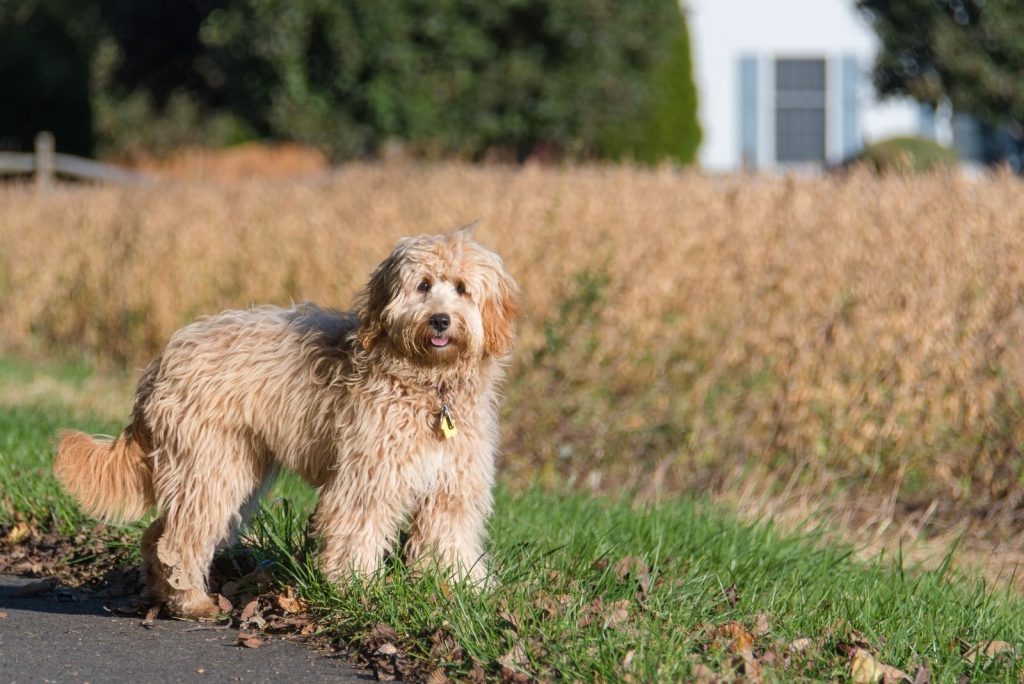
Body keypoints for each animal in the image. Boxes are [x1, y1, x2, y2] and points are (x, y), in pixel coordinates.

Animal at [54, 229, 520, 618]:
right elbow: (356, 532)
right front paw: (357, 590)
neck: (428, 386)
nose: (440, 319)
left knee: (158, 534)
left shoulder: (452, 487)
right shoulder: (367, 480)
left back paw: (163, 594)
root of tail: (161, 362)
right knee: (177, 538)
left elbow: (451, 537)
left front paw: (466, 591)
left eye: (461, 289)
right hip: (212, 466)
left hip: (224, 469)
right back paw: (193, 602)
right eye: (423, 286)